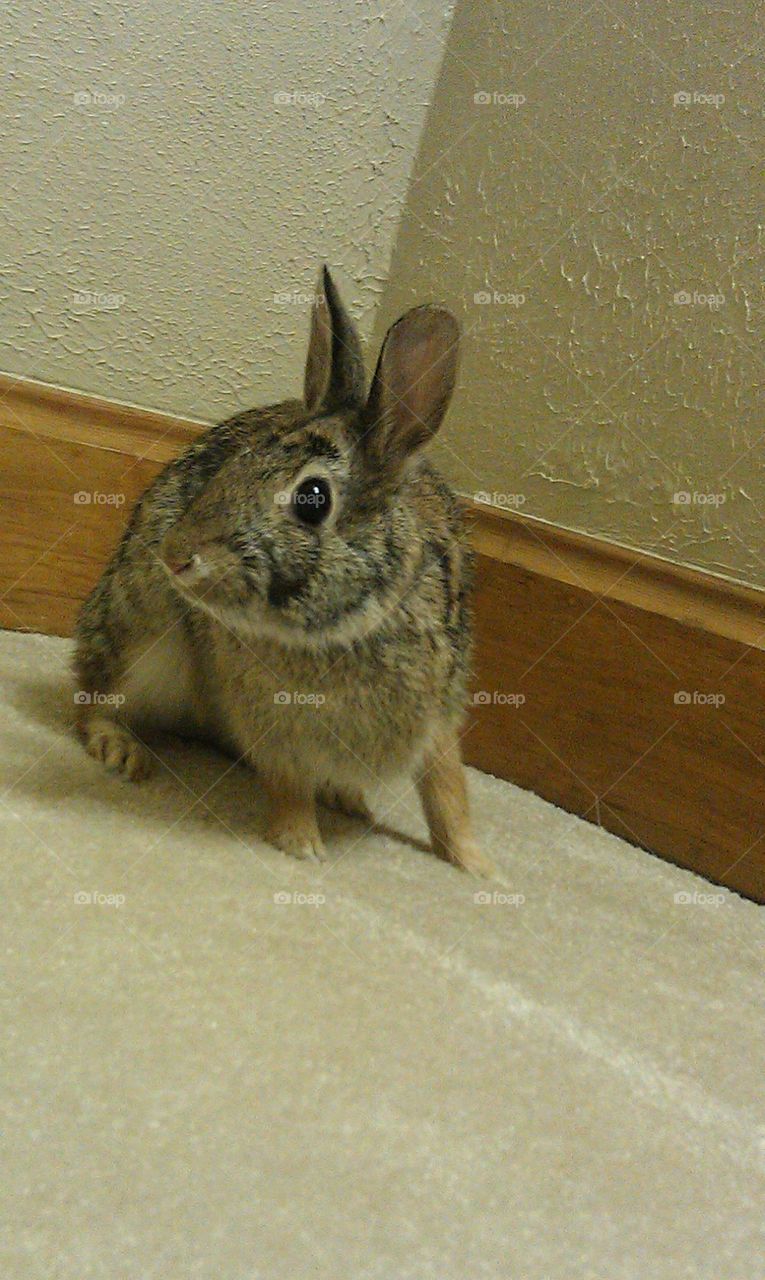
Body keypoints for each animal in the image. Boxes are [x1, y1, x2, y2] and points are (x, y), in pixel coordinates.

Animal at [73, 267, 494, 876]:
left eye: (312, 499)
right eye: (234, 463)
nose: (175, 554)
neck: (343, 628)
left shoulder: (437, 714)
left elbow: (448, 792)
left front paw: (476, 866)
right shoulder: (275, 725)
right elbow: (288, 781)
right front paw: (300, 845)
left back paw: (346, 798)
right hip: (140, 630)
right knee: (94, 693)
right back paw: (120, 749)